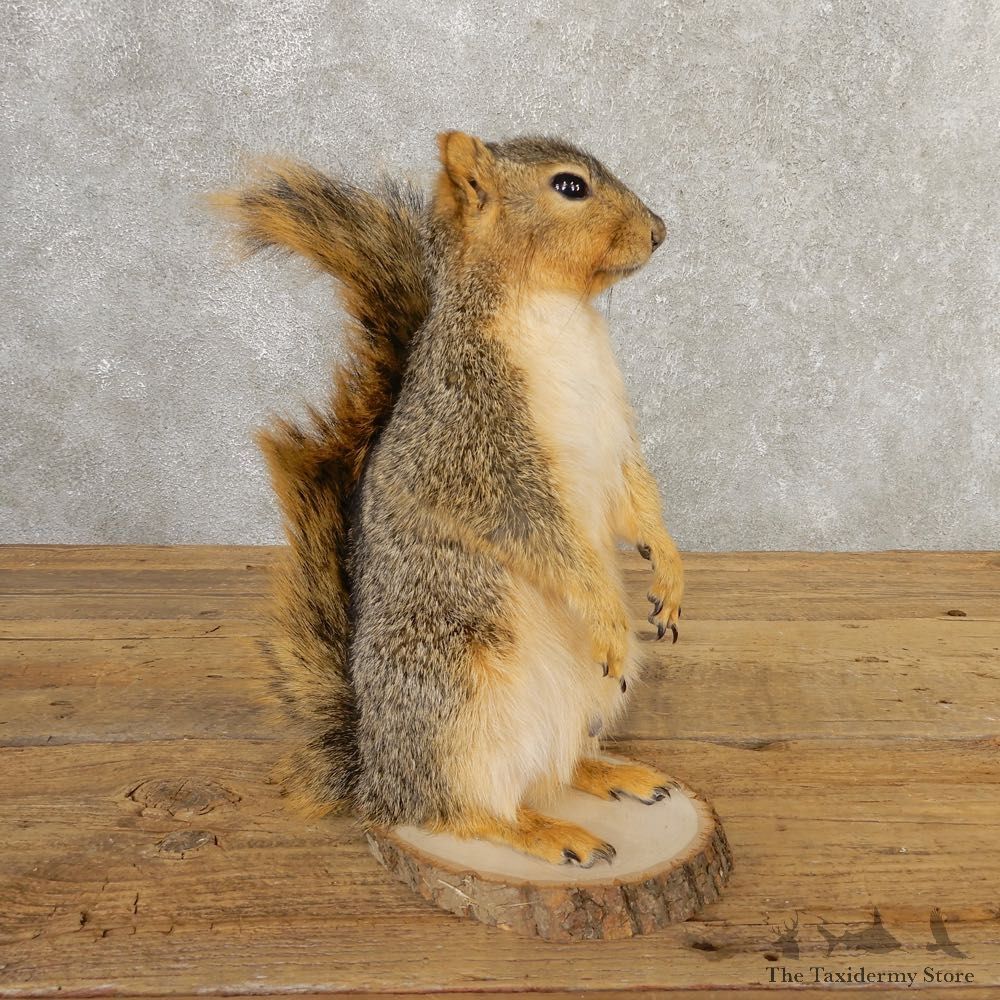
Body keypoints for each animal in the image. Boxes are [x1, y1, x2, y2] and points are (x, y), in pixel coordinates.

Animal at [213, 132, 684, 868]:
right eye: (569, 186)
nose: (660, 231)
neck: (557, 313)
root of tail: (375, 775)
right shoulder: (477, 452)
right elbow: (542, 535)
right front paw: (608, 608)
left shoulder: (615, 439)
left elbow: (637, 498)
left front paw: (668, 569)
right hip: (457, 705)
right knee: (463, 811)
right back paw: (548, 834)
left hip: (586, 701)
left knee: (554, 770)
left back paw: (611, 775)